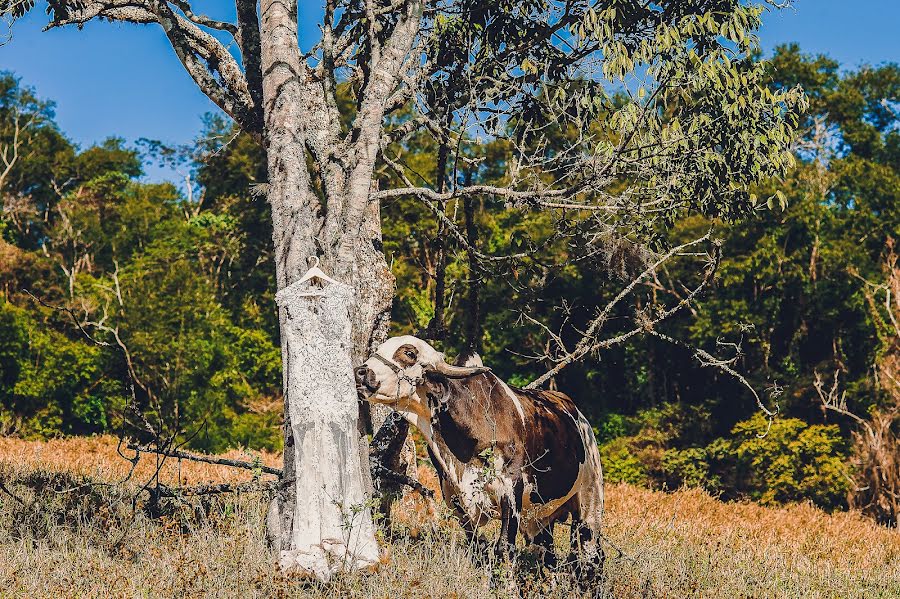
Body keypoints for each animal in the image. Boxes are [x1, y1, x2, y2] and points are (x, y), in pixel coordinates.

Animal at [354, 336, 604, 580]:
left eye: (409, 353)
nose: (360, 371)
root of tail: (580, 417)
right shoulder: (455, 499)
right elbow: (478, 547)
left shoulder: (511, 491)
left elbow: (504, 548)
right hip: (542, 517)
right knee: (548, 556)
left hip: (590, 503)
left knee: (591, 554)